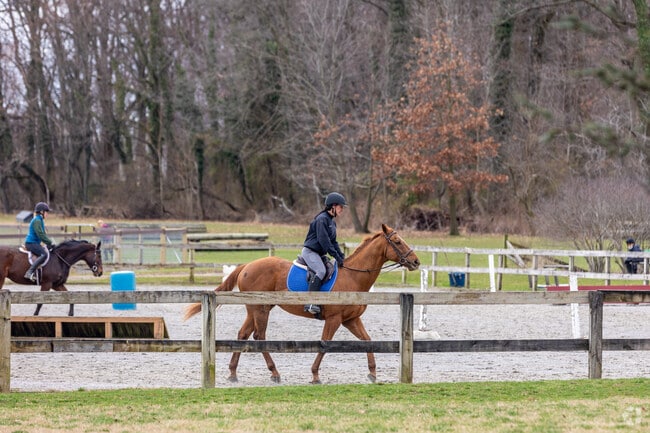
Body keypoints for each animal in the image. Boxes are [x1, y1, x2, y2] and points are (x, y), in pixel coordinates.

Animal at [184, 223, 420, 384]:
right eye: (397, 241)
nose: (416, 261)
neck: (353, 277)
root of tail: (247, 265)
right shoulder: (334, 319)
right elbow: (325, 344)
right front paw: (315, 375)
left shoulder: (351, 320)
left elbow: (368, 340)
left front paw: (372, 372)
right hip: (260, 310)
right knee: (259, 336)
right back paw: (274, 372)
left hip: (255, 310)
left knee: (243, 335)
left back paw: (233, 373)